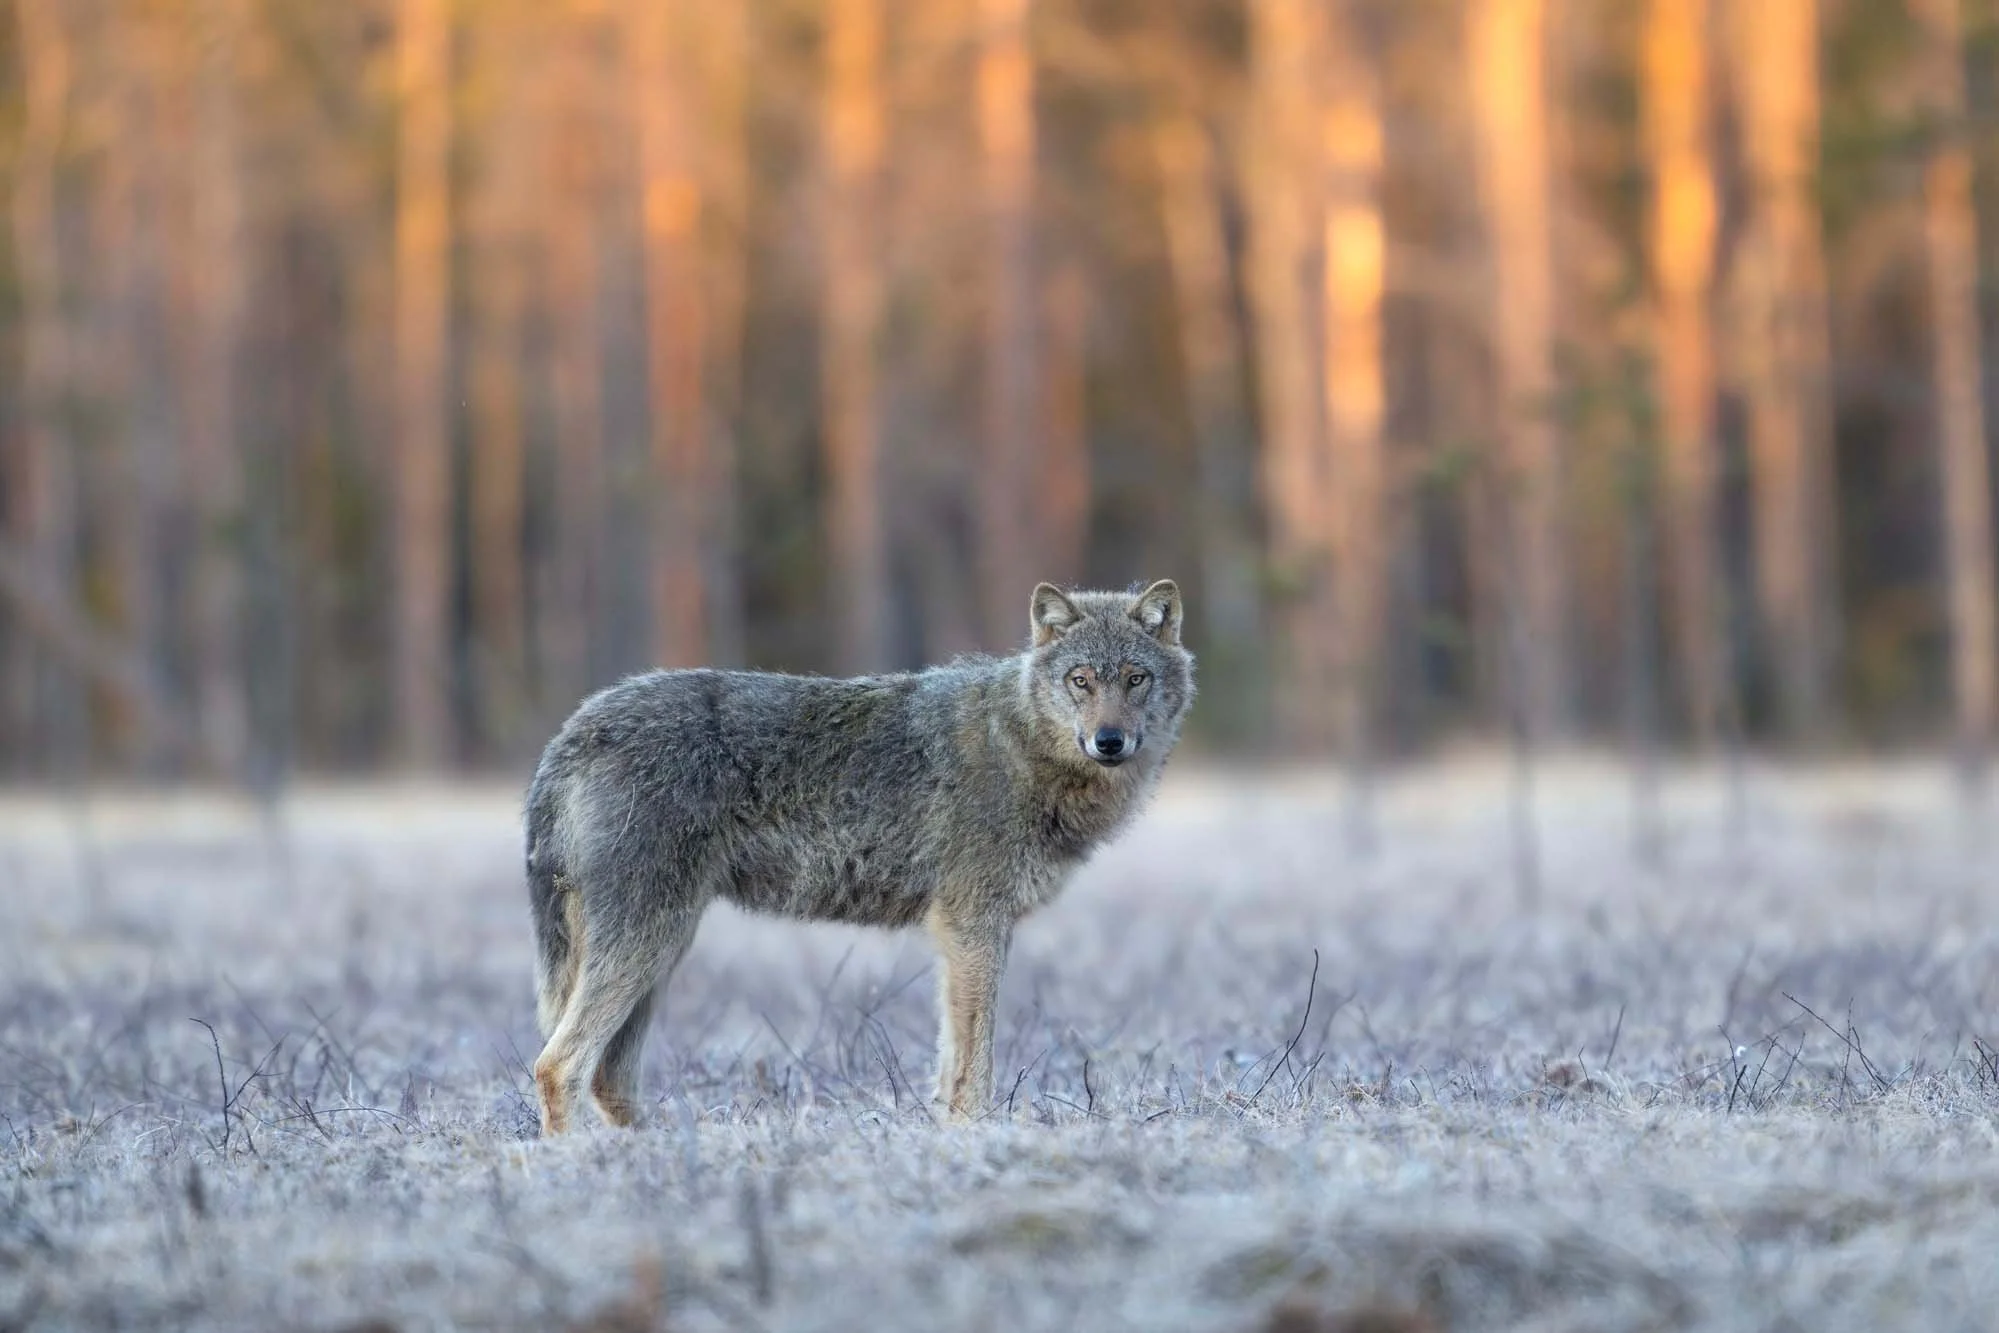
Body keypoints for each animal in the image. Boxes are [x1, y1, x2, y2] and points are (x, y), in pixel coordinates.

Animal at [525, 580, 1194, 1133]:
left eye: (1135, 678)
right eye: (1081, 680)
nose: (1110, 741)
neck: (1020, 743)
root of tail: (571, 731)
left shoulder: (966, 934)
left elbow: (951, 1057)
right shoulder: (972, 924)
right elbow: (976, 1059)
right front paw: (977, 1135)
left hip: (662, 951)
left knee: (608, 1078)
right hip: (648, 945)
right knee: (557, 1065)